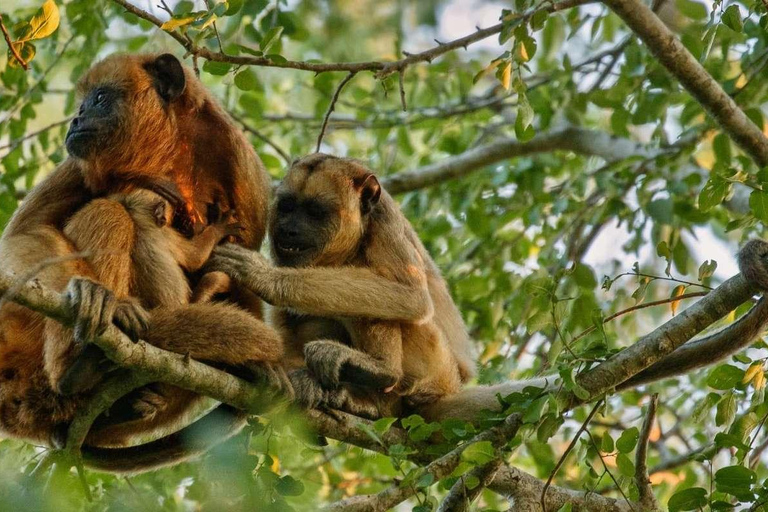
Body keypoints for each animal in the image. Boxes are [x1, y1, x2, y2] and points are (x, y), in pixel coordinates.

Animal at [0, 53, 280, 472]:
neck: (171, 153)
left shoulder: (245, 177)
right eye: (82, 104)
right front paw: (93, 295)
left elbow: (241, 283)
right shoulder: (78, 164)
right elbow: (23, 236)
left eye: (99, 99)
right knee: (107, 212)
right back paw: (78, 362)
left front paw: (260, 367)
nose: (76, 119)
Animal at [207, 154, 476, 418]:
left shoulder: (384, 220)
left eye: (315, 212)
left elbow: (412, 295)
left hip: (434, 364)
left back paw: (381, 371)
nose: (289, 229)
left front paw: (264, 277)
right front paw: (267, 368)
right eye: (287, 207)